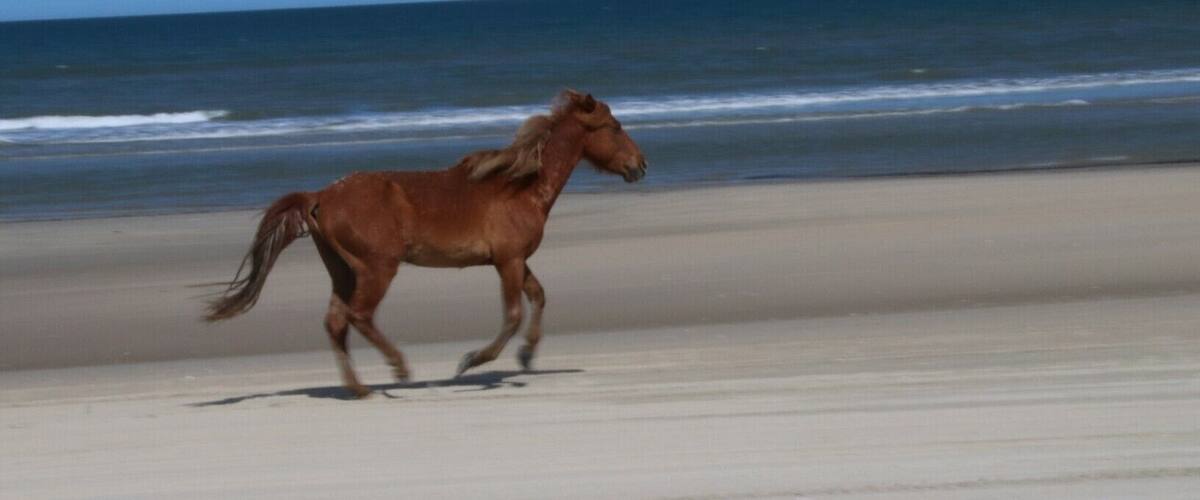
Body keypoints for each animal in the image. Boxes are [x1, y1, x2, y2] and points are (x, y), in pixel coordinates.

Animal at [205, 90, 647, 398]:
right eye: (615, 127)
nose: (641, 165)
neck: (520, 186)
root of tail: (321, 195)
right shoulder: (507, 260)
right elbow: (512, 315)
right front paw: (471, 362)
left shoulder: (515, 259)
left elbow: (537, 297)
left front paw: (526, 355)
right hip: (378, 267)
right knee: (359, 316)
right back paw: (399, 370)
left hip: (342, 270)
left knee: (335, 322)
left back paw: (359, 389)